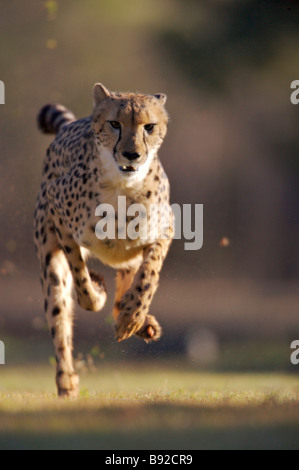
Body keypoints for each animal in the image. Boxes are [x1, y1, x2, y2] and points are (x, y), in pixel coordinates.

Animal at [33, 83, 173, 396]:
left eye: (149, 126)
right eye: (115, 124)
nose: (131, 154)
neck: (123, 187)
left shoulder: (164, 228)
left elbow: (149, 277)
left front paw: (133, 318)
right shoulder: (60, 216)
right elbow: (83, 287)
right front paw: (97, 291)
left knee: (128, 280)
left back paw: (140, 322)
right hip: (48, 254)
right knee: (59, 313)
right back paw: (66, 382)